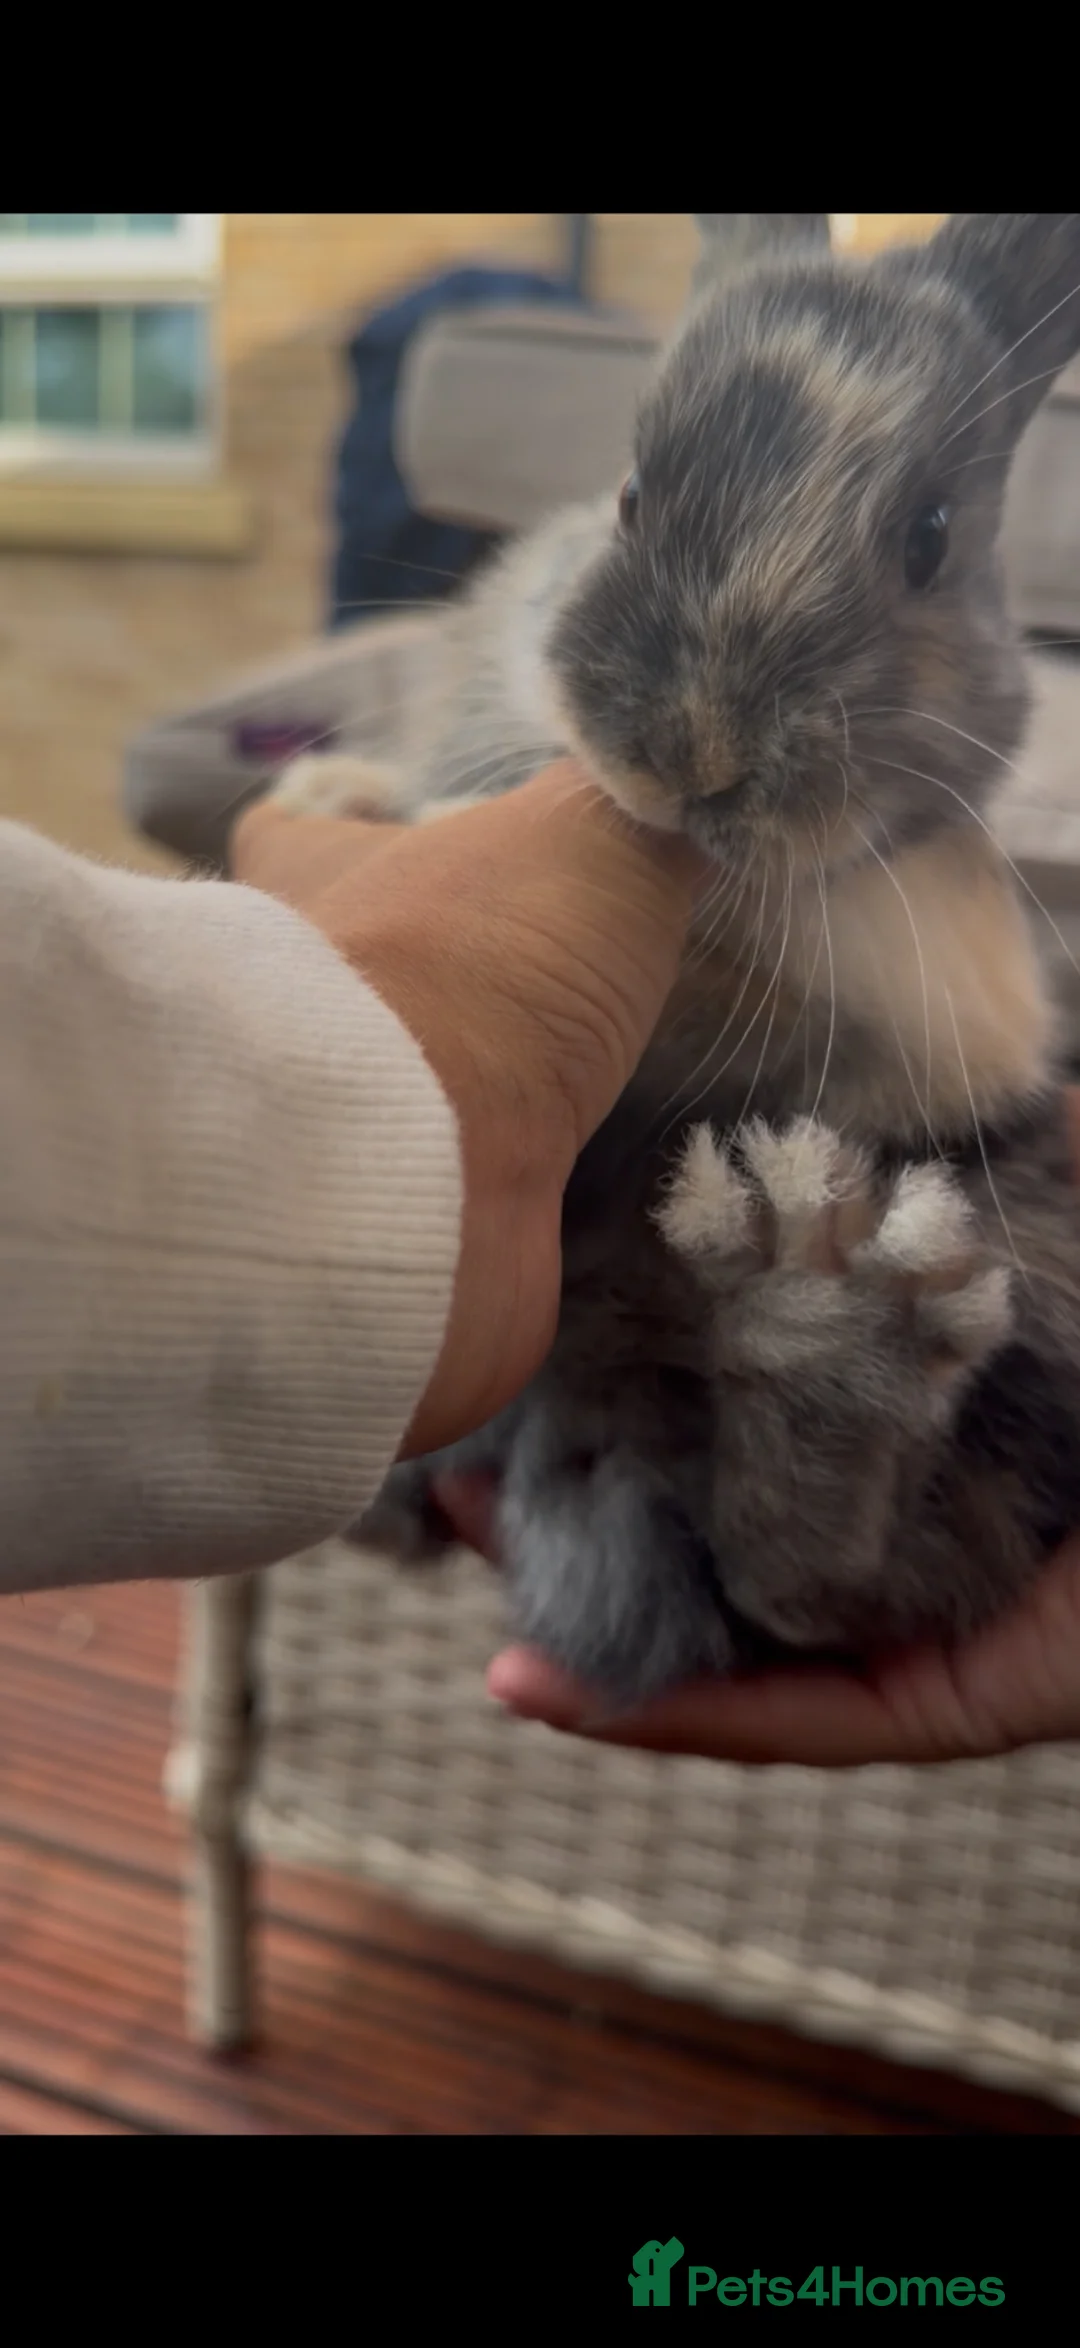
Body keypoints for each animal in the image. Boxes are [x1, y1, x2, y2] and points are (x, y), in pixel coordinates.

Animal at [273, 214, 1080, 1706]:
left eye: (929, 538)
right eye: (634, 494)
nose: (694, 752)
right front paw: (340, 797)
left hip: (1028, 1266)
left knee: (828, 1590)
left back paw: (827, 1317)